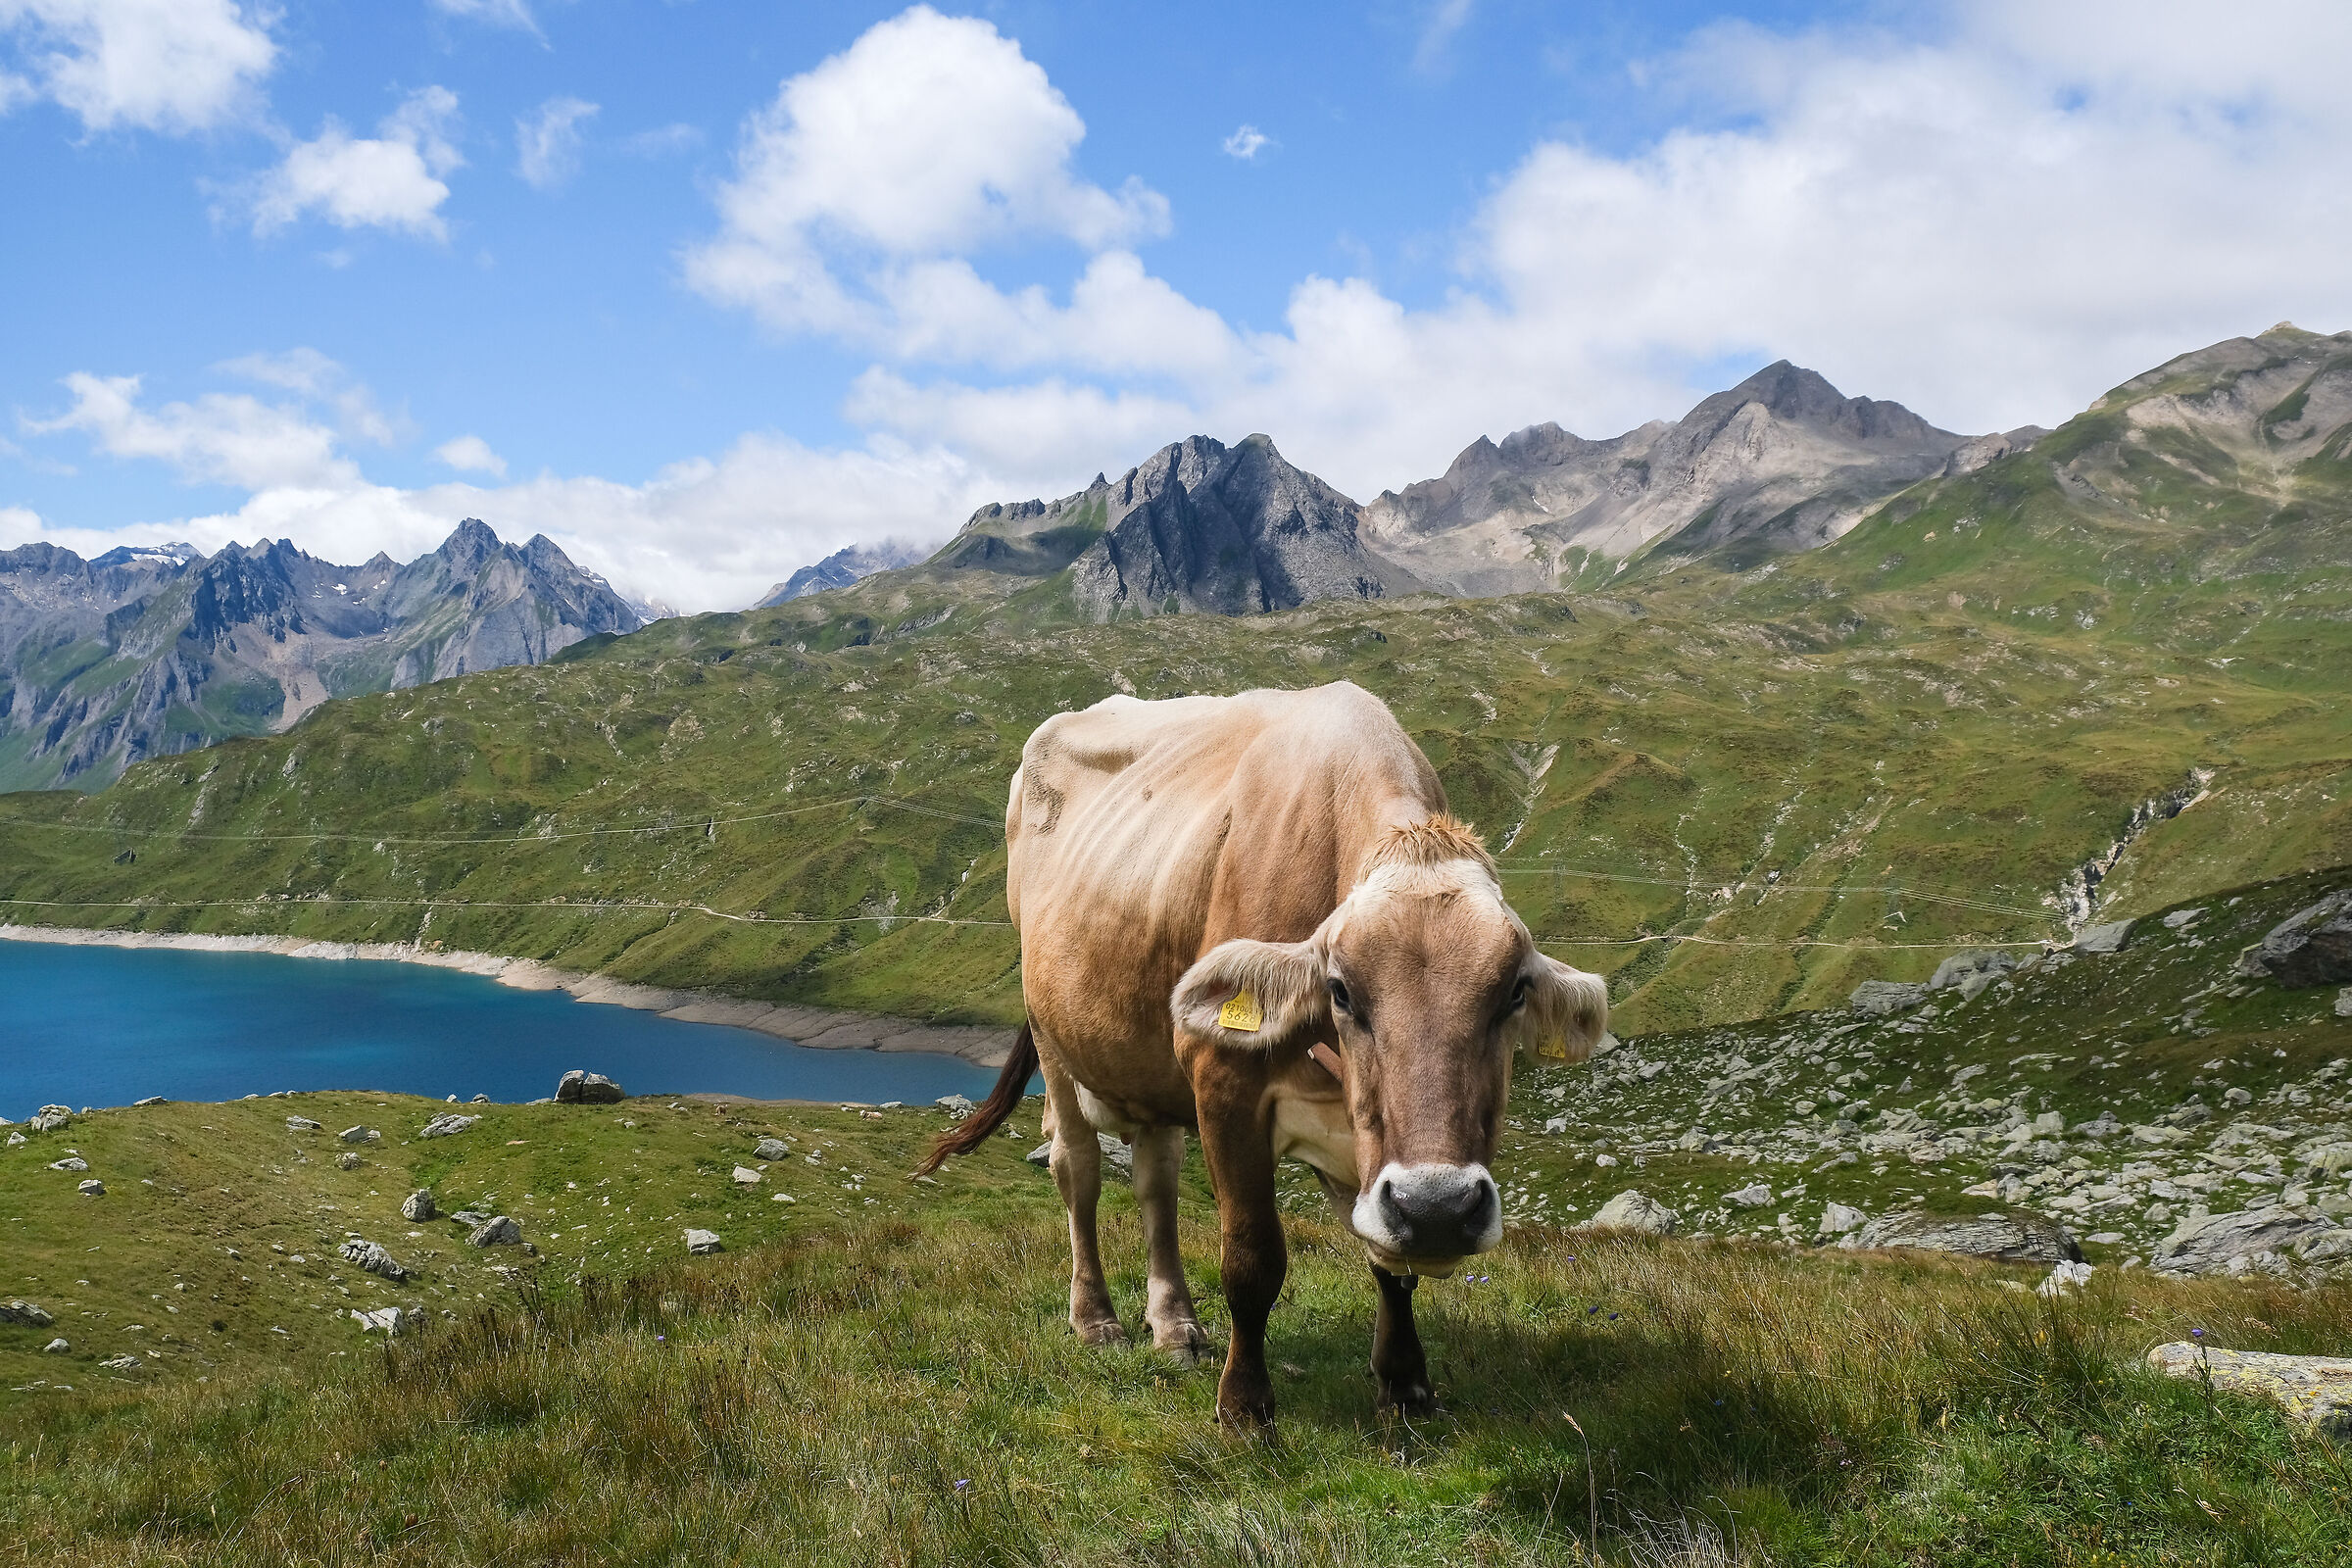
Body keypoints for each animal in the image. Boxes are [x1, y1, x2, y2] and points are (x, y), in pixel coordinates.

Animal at [920, 682, 1607, 1427]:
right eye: (1341, 989)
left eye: (1514, 991)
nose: (1439, 1209)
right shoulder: (1225, 1082)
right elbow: (1253, 1259)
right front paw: (1245, 1408)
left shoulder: (1366, 1144)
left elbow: (1388, 1263)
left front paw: (1404, 1385)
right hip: (1053, 1036)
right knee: (1078, 1170)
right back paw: (1096, 1319)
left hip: (1151, 1064)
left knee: (1156, 1180)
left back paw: (1176, 1326)